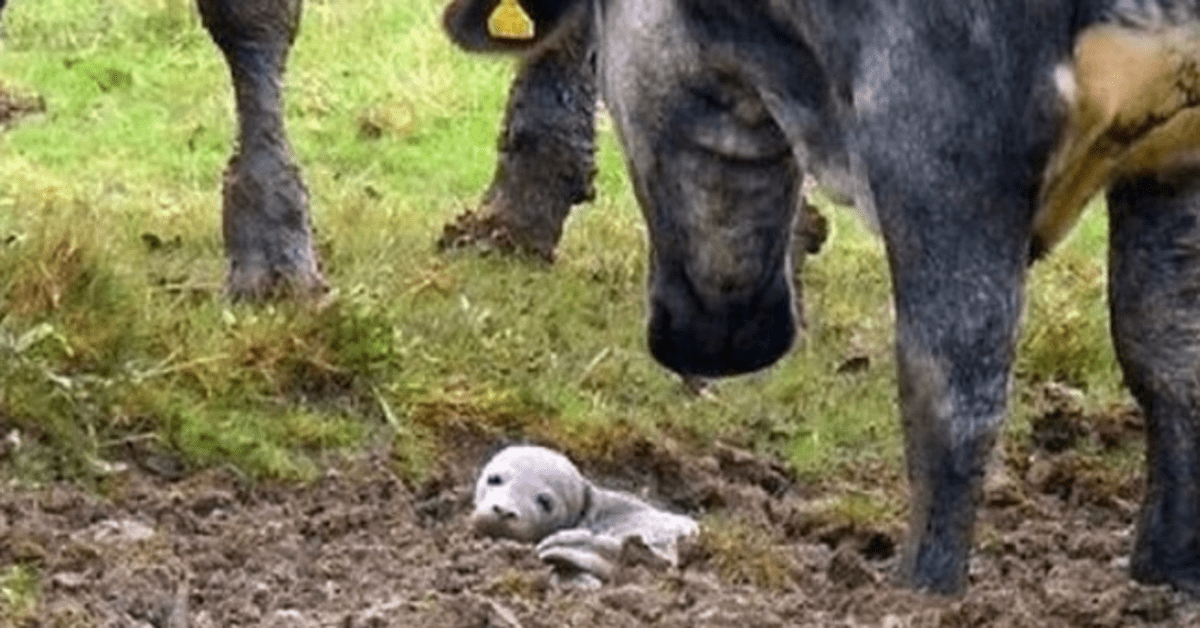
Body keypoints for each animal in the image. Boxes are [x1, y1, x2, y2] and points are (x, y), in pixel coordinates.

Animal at [444, 0, 1200, 597]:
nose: (709, 342)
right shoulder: (1174, 154)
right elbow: (1166, 356)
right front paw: (1164, 577)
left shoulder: (945, 131)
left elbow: (953, 384)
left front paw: (920, 593)